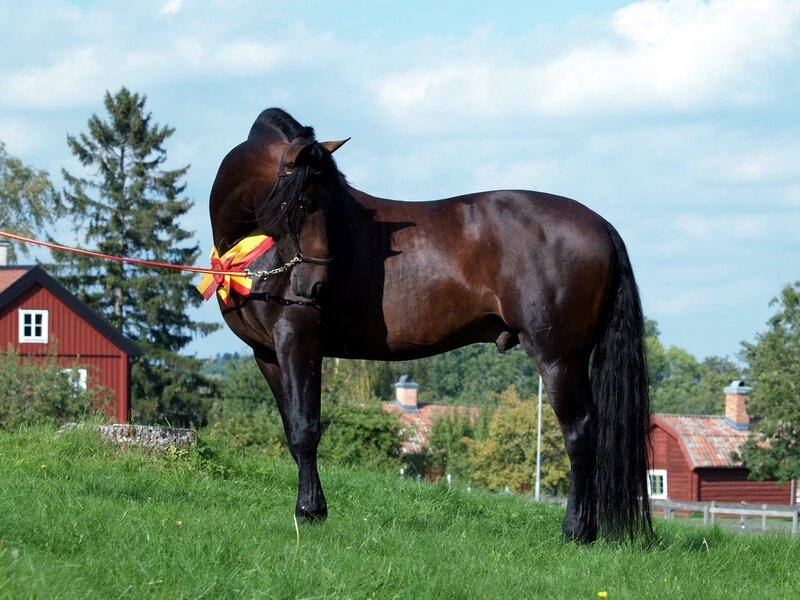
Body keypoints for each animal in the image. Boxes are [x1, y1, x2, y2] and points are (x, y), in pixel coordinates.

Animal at [208, 108, 653, 542]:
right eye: (302, 202)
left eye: (322, 202)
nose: (314, 285)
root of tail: (601, 225)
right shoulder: (267, 353)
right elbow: (291, 429)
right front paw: (310, 508)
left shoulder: (299, 342)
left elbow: (306, 429)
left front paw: (311, 511)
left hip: (559, 357)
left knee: (580, 434)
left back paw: (575, 531)